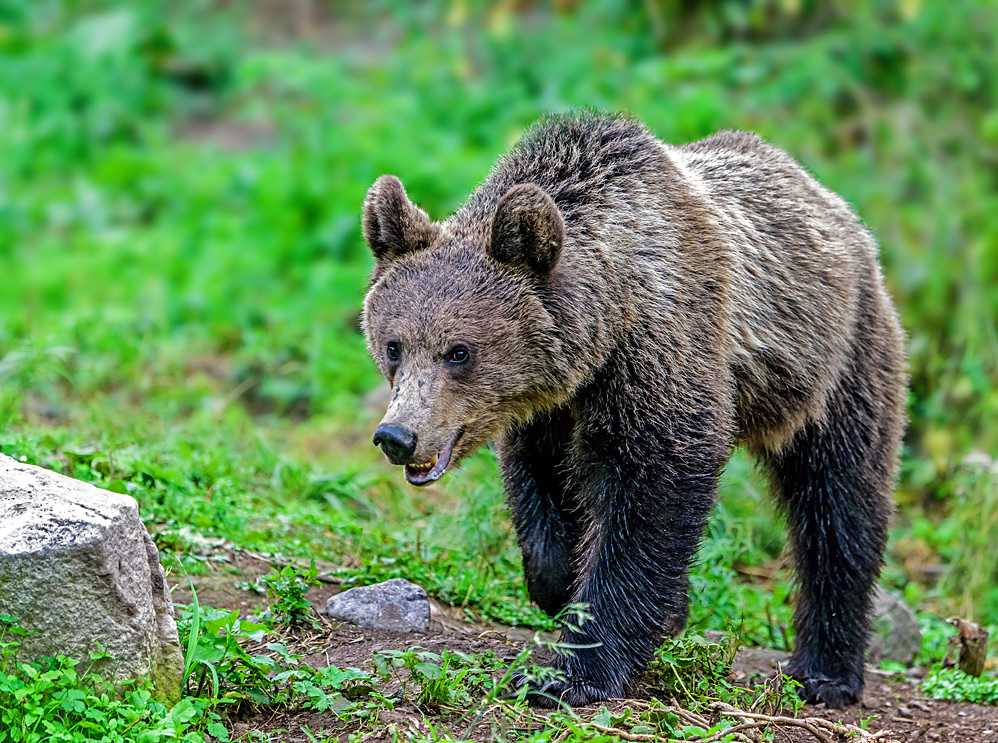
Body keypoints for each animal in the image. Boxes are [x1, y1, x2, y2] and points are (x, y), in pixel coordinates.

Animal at [360, 110, 908, 708]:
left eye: (459, 351)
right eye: (394, 345)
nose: (398, 436)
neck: (606, 324)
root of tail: (837, 208)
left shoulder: (663, 352)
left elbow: (652, 496)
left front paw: (573, 672)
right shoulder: (550, 409)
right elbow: (544, 487)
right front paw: (573, 584)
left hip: (836, 363)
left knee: (838, 501)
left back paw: (826, 672)